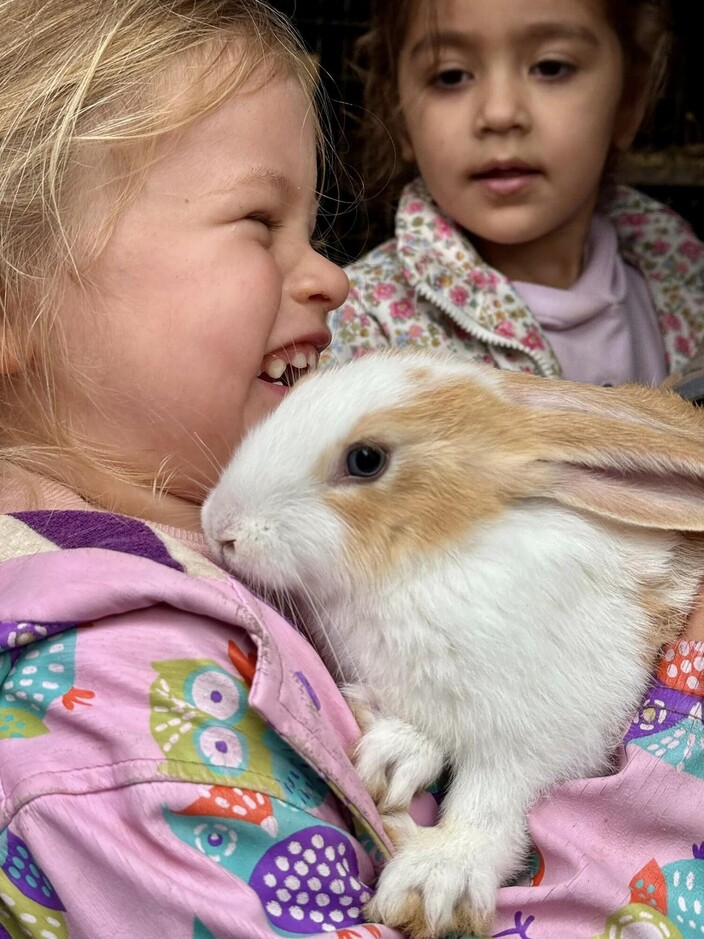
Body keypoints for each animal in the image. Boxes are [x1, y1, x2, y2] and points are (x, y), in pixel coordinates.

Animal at [202, 350, 704, 939]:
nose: (220, 527)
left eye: (365, 460)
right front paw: (396, 755)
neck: (432, 557)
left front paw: (434, 879)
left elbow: (494, 802)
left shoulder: (548, 727)